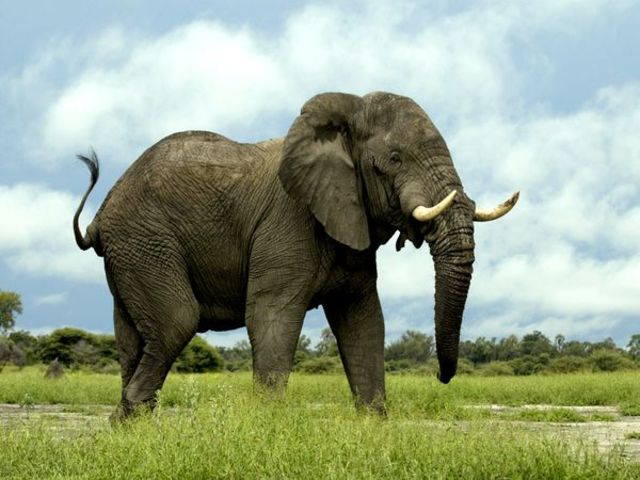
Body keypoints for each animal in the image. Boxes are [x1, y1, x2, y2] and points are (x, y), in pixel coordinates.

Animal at [73, 91, 518, 418]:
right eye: (394, 160)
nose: (441, 376)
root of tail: (102, 212)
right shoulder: (287, 222)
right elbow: (271, 317)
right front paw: (267, 430)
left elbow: (364, 323)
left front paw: (375, 427)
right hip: (145, 240)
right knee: (176, 323)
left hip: (132, 251)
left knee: (133, 336)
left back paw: (130, 432)